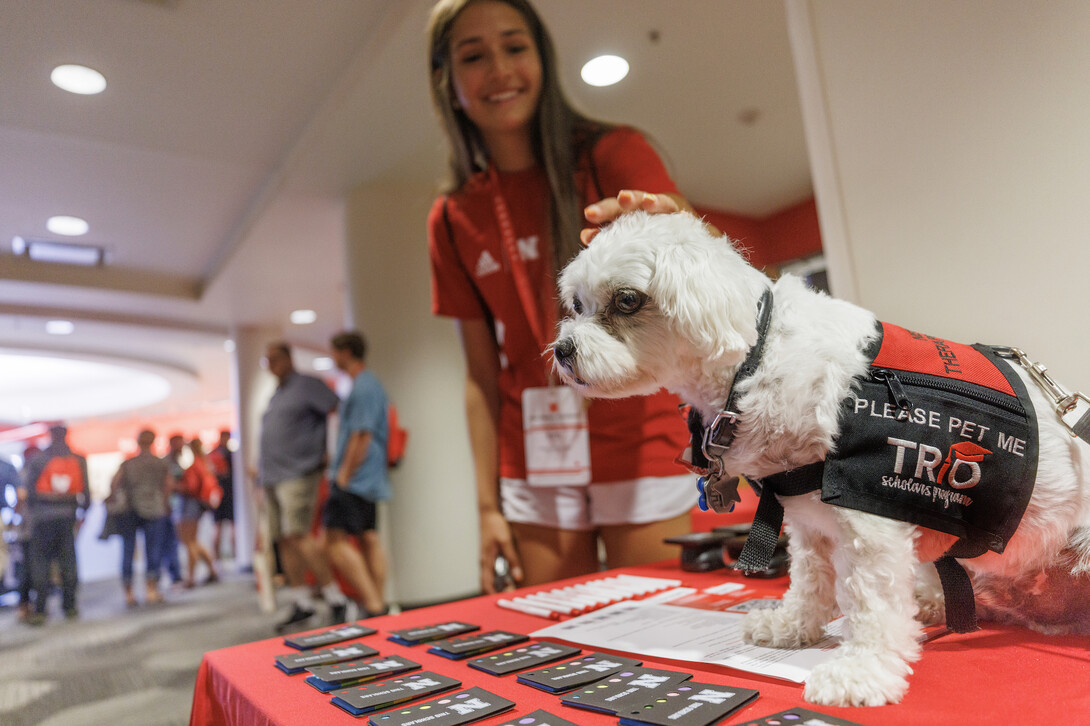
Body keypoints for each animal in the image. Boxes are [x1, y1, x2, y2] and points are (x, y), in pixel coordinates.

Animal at [553, 210, 1090, 706]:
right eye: (576, 305)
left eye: (627, 299)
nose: (561, 349)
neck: (757, 359)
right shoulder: (807, 517)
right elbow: (811, 580)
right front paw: (794, 626)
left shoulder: (871, 518)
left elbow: (872, 603)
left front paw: (862, 671)